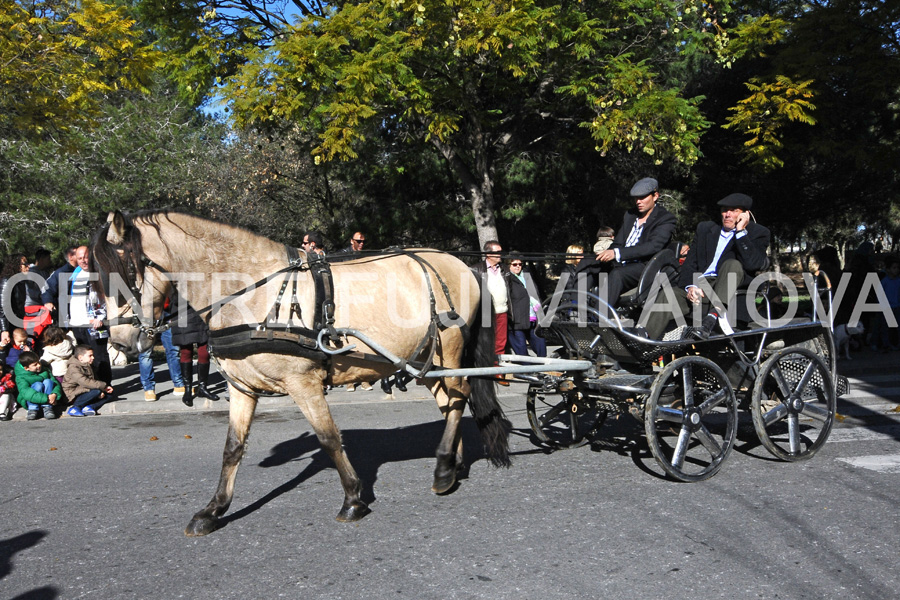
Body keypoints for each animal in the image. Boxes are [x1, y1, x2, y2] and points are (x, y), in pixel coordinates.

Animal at [92, 210, 512, 536]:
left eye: (124, 271)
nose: (118, 342)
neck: (251, 290)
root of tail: (461, 264)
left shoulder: (304, 383)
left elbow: (329, 439)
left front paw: (353, 498)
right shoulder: (242, 388)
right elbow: (232, 448)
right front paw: (213, 510)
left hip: (449, 352)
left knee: (458, 397)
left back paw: (443, 467)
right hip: (424, 359)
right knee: (449, 402)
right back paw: (452, 464)